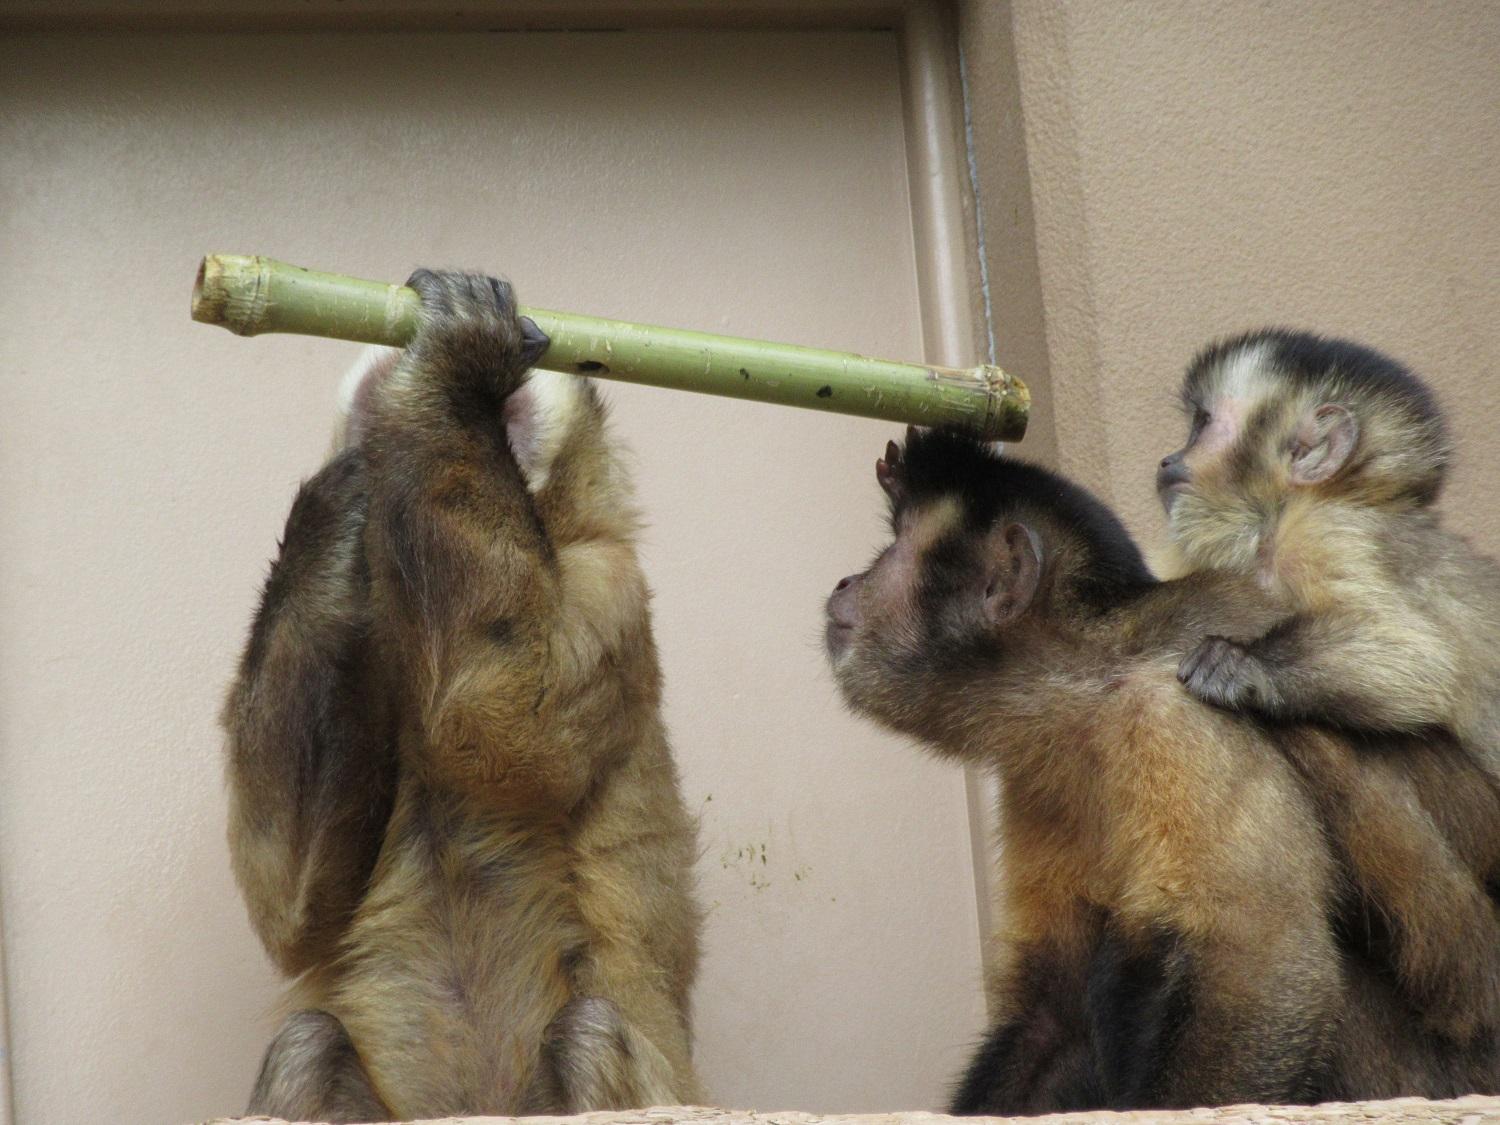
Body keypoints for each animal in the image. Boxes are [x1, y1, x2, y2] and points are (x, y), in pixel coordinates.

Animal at [222, 268, 702, 1122]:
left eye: (498, 418)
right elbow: (293, 912)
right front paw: (349, 492)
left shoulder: (610, 583)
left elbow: (504, 726)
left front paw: (454, 368)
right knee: (307, 1043)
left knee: (585, 1032)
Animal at [822, 426, 1500, 1116]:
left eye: (895, 548)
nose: (849, 581)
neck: (1092, 677)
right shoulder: (1038, 766)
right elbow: (1054, 1011)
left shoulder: (1172, 713)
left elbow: (1260, 968)